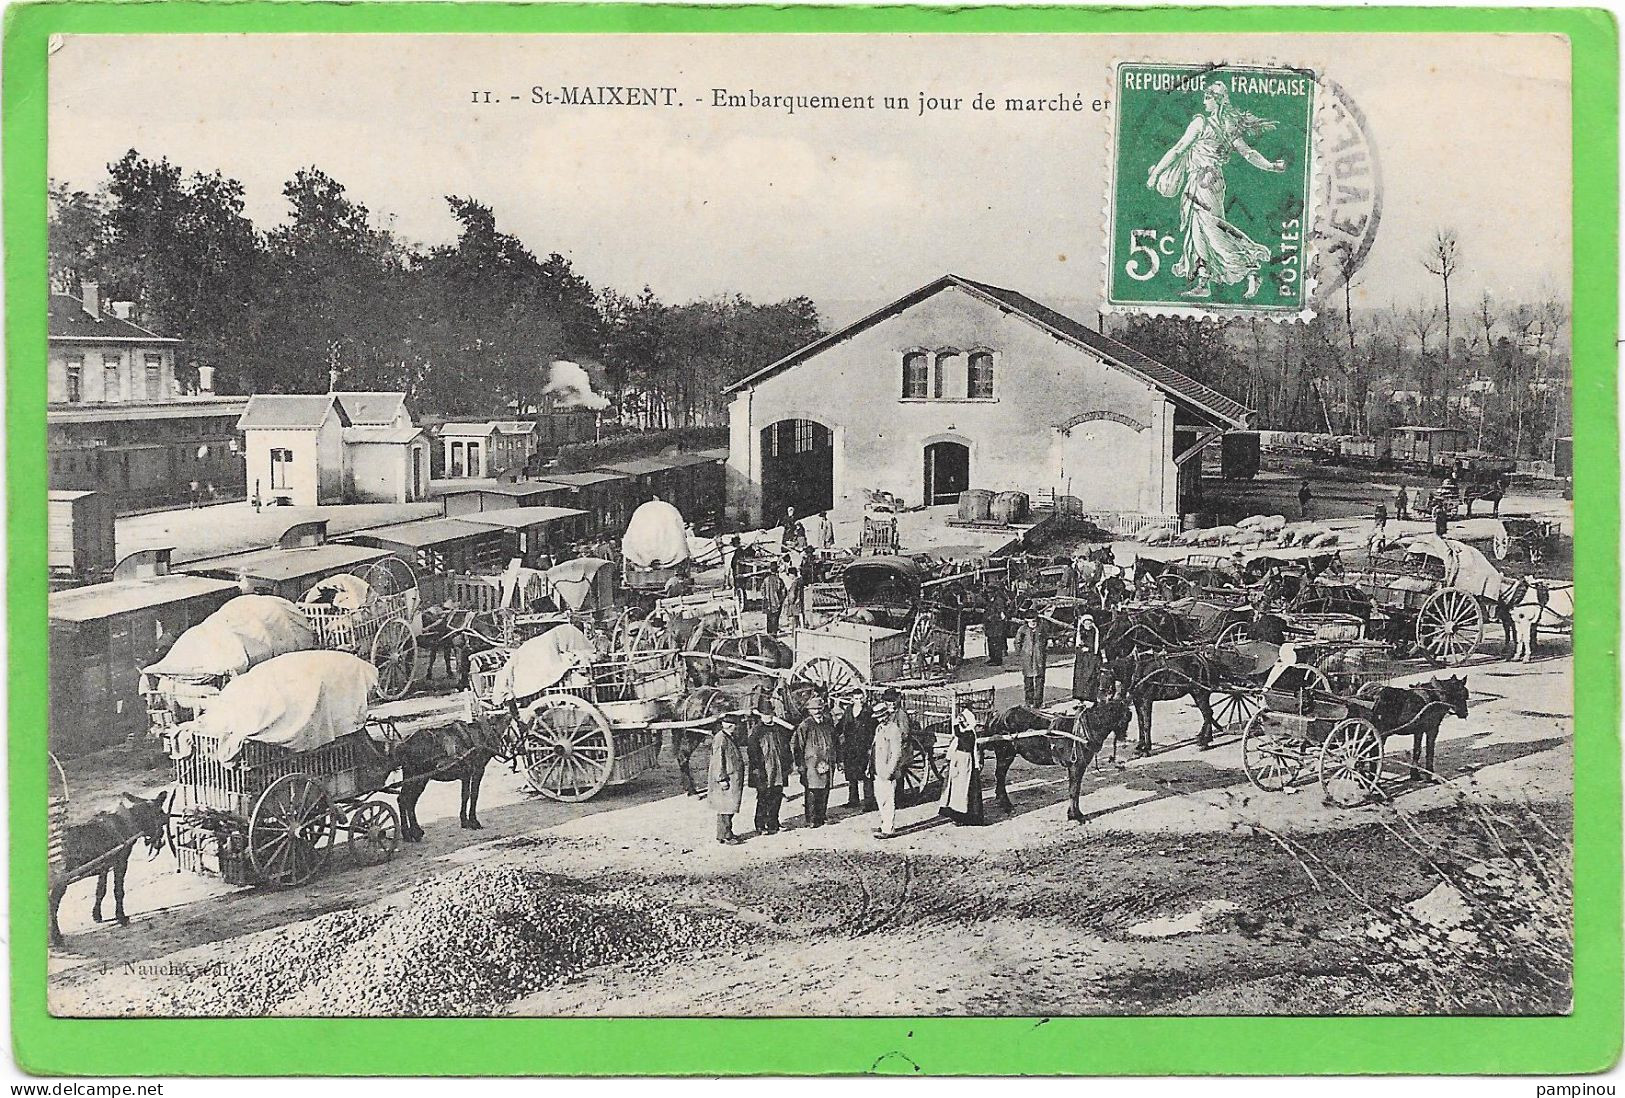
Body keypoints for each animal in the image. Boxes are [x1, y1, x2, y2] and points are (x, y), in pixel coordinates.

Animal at [49, 792, 169, 948]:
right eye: (160, 812)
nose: (160, 840)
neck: (127, 822)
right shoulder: (121, 863)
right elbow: (118, 891)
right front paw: (121, 917)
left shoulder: (104, 866)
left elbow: (101, 890)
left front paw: (97, 915)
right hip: (61, 880)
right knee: (53, 903)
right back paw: (56, 937)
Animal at [981, 698, 1137, 818]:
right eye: (1125, 717)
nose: (1124, 738)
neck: (1083, 730)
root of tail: (998, 717)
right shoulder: (1075, 766)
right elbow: (1074, 789)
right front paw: (1075, 815)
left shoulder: (1080, 766)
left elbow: (1076, 789)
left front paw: (1075, 813)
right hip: (1005, 754)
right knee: (1000, 776)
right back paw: (1006, 804)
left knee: (1000, 777)